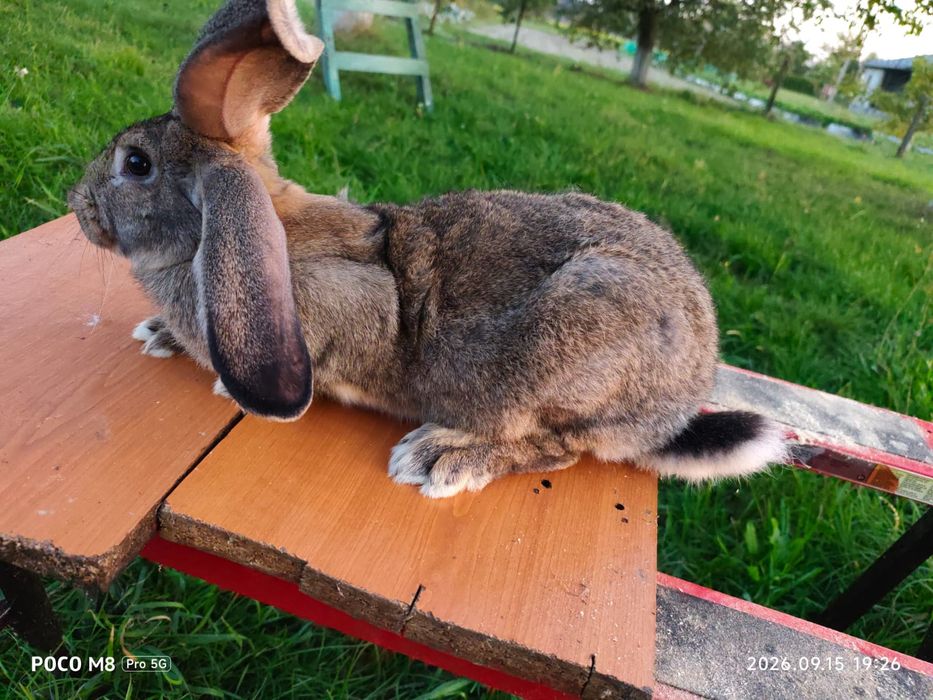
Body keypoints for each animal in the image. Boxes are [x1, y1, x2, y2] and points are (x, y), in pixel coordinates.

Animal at [68, 0, 785, 498]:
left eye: (136, 164)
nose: (77, 205)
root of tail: (674, 410)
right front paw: (160, 333)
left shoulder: (347, 309)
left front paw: (221, 379)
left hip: (561, 358)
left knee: (558, 448)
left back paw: (441, 456)